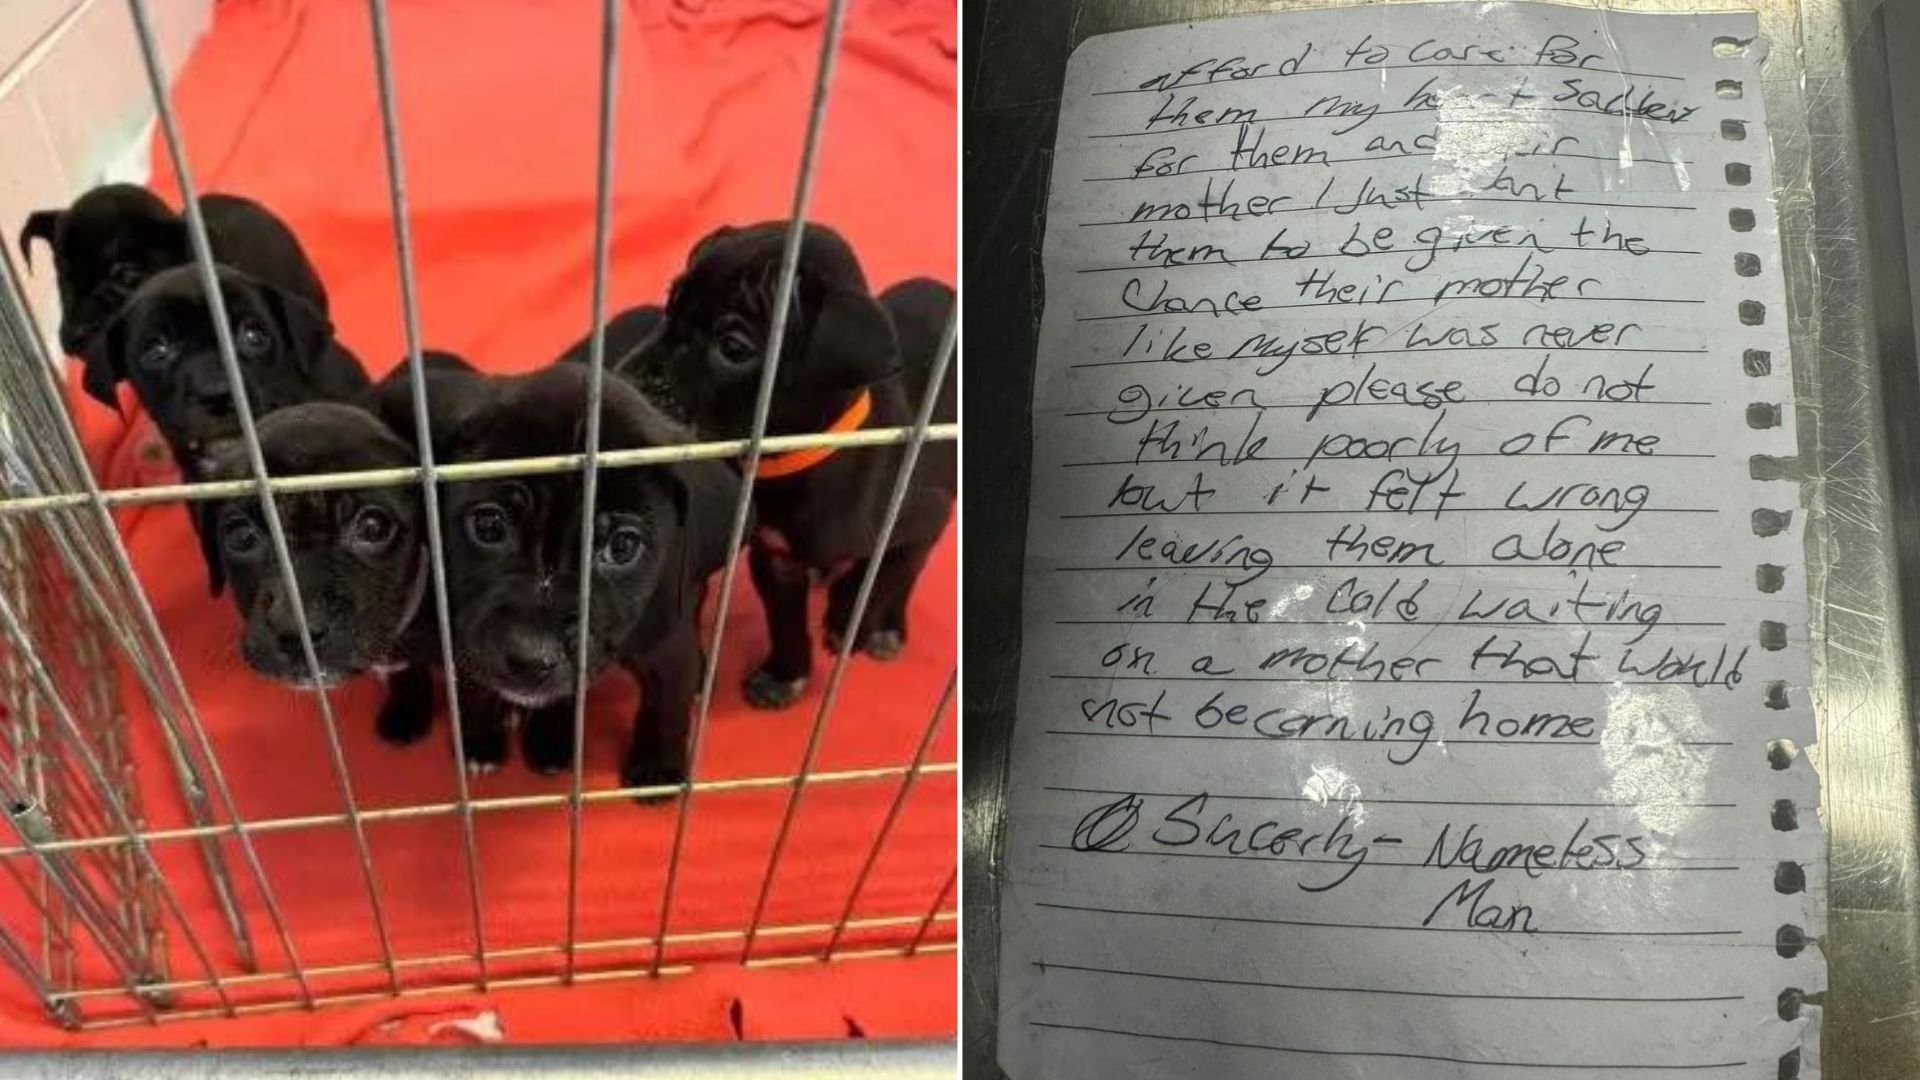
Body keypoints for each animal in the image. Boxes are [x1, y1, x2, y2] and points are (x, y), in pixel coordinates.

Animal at [412, 361, 741, 780]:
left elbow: (667, 703)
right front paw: (482, 738)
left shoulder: (668, 642)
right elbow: (473, 685)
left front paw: (656, 768)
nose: (530, 657)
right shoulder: (461, 627)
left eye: (622, 546)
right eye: (488, 526)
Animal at [633, 220, 956, 707]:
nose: (630, 381)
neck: (799, 456)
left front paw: (850, 617)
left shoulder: (923, 515)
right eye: (671, 305)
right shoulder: (775, 558)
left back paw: (885, 625)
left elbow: (888, 571)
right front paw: (785, 673)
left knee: (909, 568)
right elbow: (783, 620)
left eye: (734, 348)